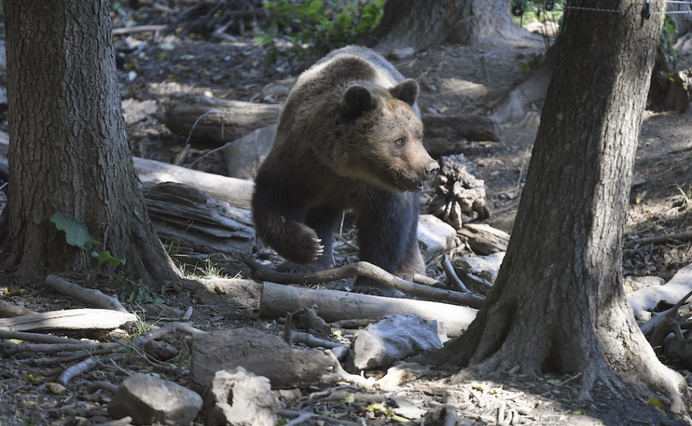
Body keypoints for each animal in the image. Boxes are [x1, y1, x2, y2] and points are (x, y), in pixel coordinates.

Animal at [253, 45, 438, 294]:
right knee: (320, 216)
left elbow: (386, 226)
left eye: (418, 135)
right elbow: (272, 199)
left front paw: (372, 284)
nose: (430, 167)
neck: (345, 166)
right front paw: (309, 246)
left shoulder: (379, 189)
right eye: (399, 140)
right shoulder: (299, 163)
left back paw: (410, 270)